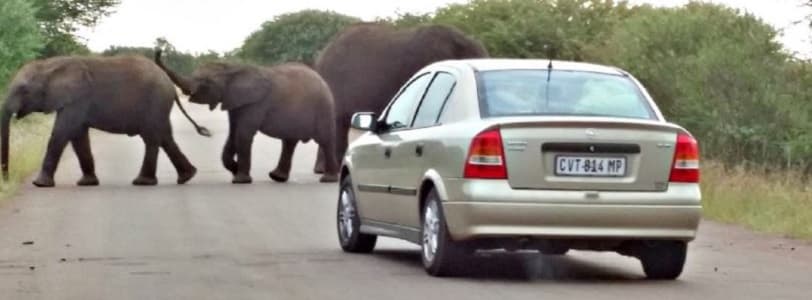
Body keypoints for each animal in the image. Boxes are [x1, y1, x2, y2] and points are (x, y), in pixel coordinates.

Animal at [153, 50, 340, 184]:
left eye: (206, 82)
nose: (158, 49)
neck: (233, 69)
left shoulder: (256, 103)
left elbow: (243, 134)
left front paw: (240, 179)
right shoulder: (234, 101)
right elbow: (232, 134)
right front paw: (236, 169)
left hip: (323, 106)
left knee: (325, 139)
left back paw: (328, 179)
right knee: (289, 142)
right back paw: (277, 177)